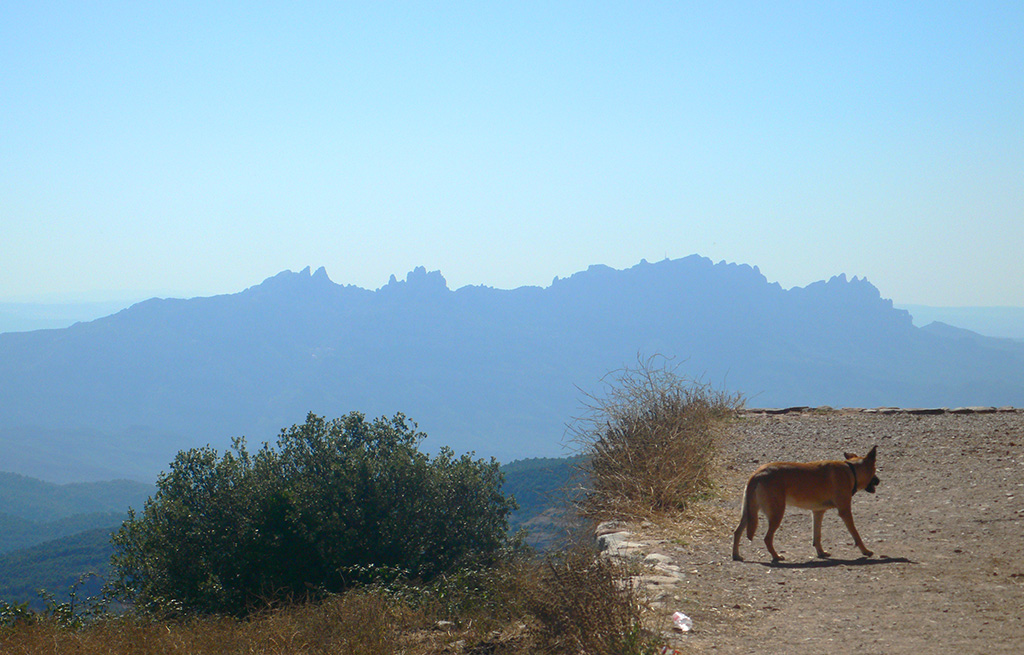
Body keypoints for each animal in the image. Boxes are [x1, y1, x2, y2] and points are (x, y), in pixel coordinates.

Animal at [729, 448, 880, 560]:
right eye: (874, 470)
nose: (879, 481)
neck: (851, 470)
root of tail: (757, 474)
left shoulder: (818, 512)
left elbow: (817, 536)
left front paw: (821, 552)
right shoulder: (845, 511)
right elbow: (856, 534)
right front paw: (866, 551)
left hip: (748, 513)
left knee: (737, 532)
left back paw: (736, 555)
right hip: (776, 513)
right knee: (767, 538)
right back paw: (776, 556)